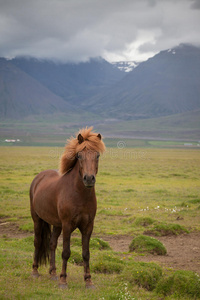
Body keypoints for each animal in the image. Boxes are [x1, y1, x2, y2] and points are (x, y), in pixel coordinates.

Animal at [29, 127, 105, 288]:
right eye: (79, 155)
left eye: (97, 155)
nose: (89, 179)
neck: (80, 194)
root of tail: (39, 177)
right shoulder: (67, 225)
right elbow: (66, 252)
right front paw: (63, 280)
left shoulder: (88, 226)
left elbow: (86, 253)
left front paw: (88, 281)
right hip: (37, 219)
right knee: (38, 242)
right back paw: (35, 272)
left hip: (56, 224)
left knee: (51, 244)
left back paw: (52, 273)